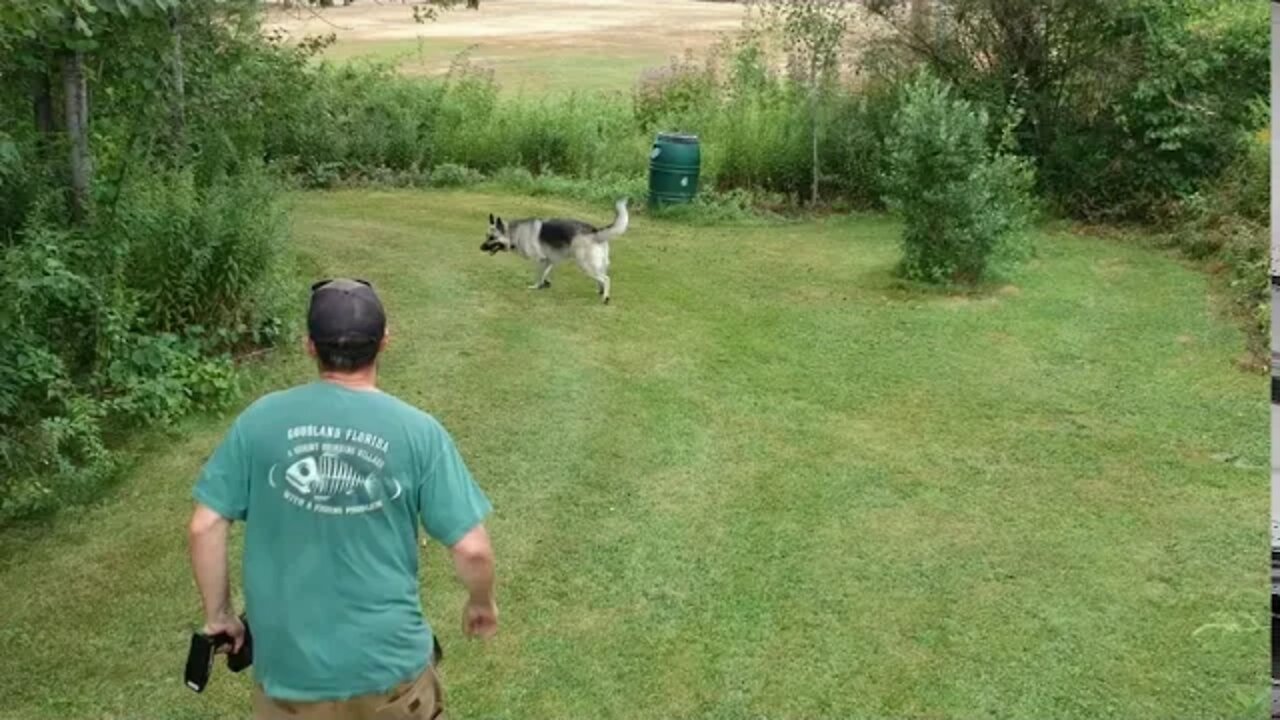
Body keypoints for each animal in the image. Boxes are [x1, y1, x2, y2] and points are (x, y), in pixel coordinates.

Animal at [481, 196, 629, 302]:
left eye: (492, 238)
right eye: (486, 236)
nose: (480, 248)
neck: (514, 233)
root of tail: (594, 231)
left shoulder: (541, 260)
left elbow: (539, 275)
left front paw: (536, 286)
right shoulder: (549, 260)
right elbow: (545, 274)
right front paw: (545, 284)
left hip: (586, 265)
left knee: (606, 279)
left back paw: (606, 298)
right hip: (596, 264)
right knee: (601, 278)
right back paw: (600, 292)